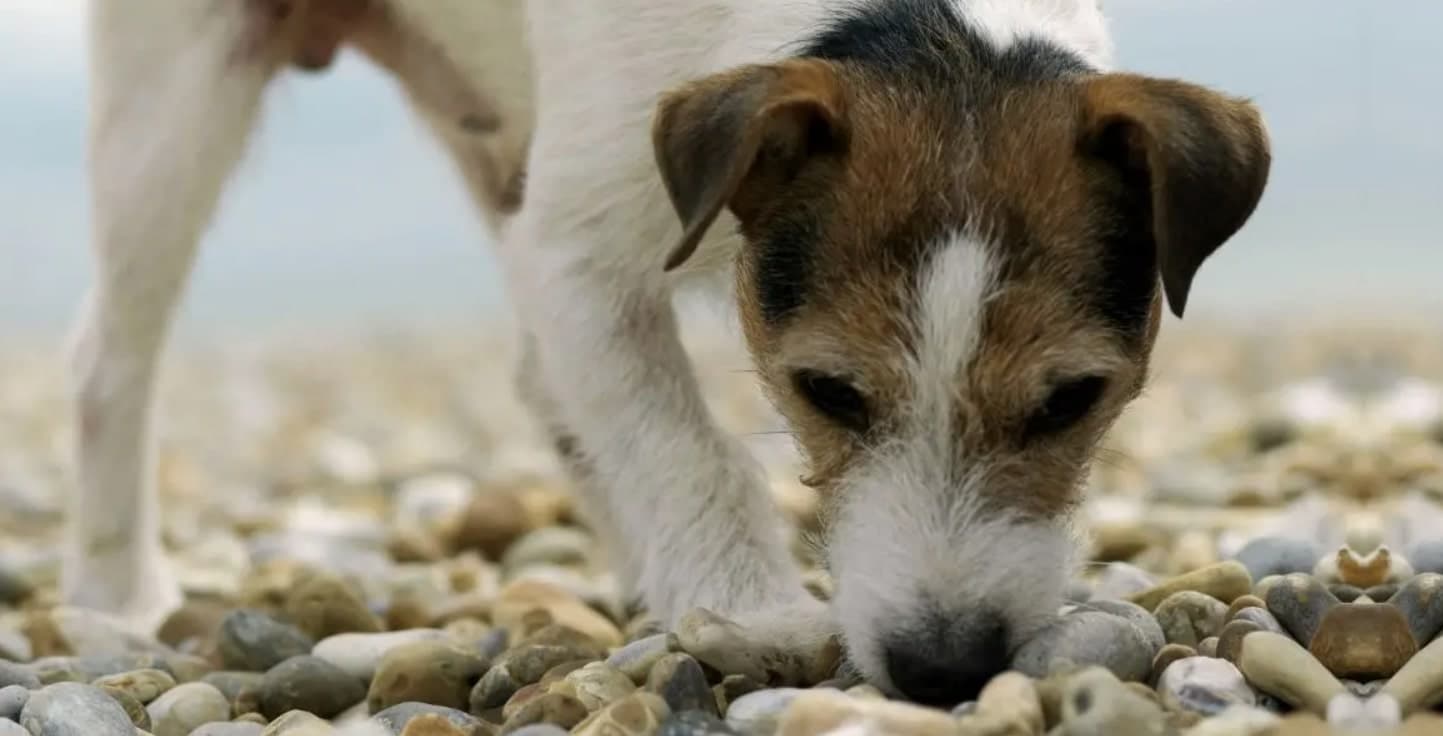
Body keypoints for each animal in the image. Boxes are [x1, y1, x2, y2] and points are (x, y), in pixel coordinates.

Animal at [70, 0, 1264, 701]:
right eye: (826, 391)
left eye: (1072, 400)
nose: (944, 669)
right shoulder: (572, 250)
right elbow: (684, 444)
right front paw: (753, 609)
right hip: (173, 99)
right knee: (107, 359)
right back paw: (117, 596)